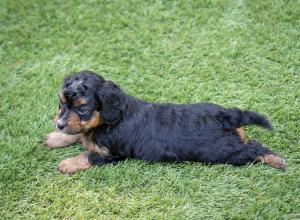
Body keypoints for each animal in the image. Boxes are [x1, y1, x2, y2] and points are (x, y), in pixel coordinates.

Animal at [44, 70, 286, 174]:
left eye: (82, 109)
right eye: (61, 103)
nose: (59, 124)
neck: (108, 121)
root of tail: (225, 116)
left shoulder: (112, 153)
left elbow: (88, 154)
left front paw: (68, 163)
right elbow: (78, 134)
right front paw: (55, 138)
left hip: (222, 151)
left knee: (252, 148)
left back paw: (275, 160)